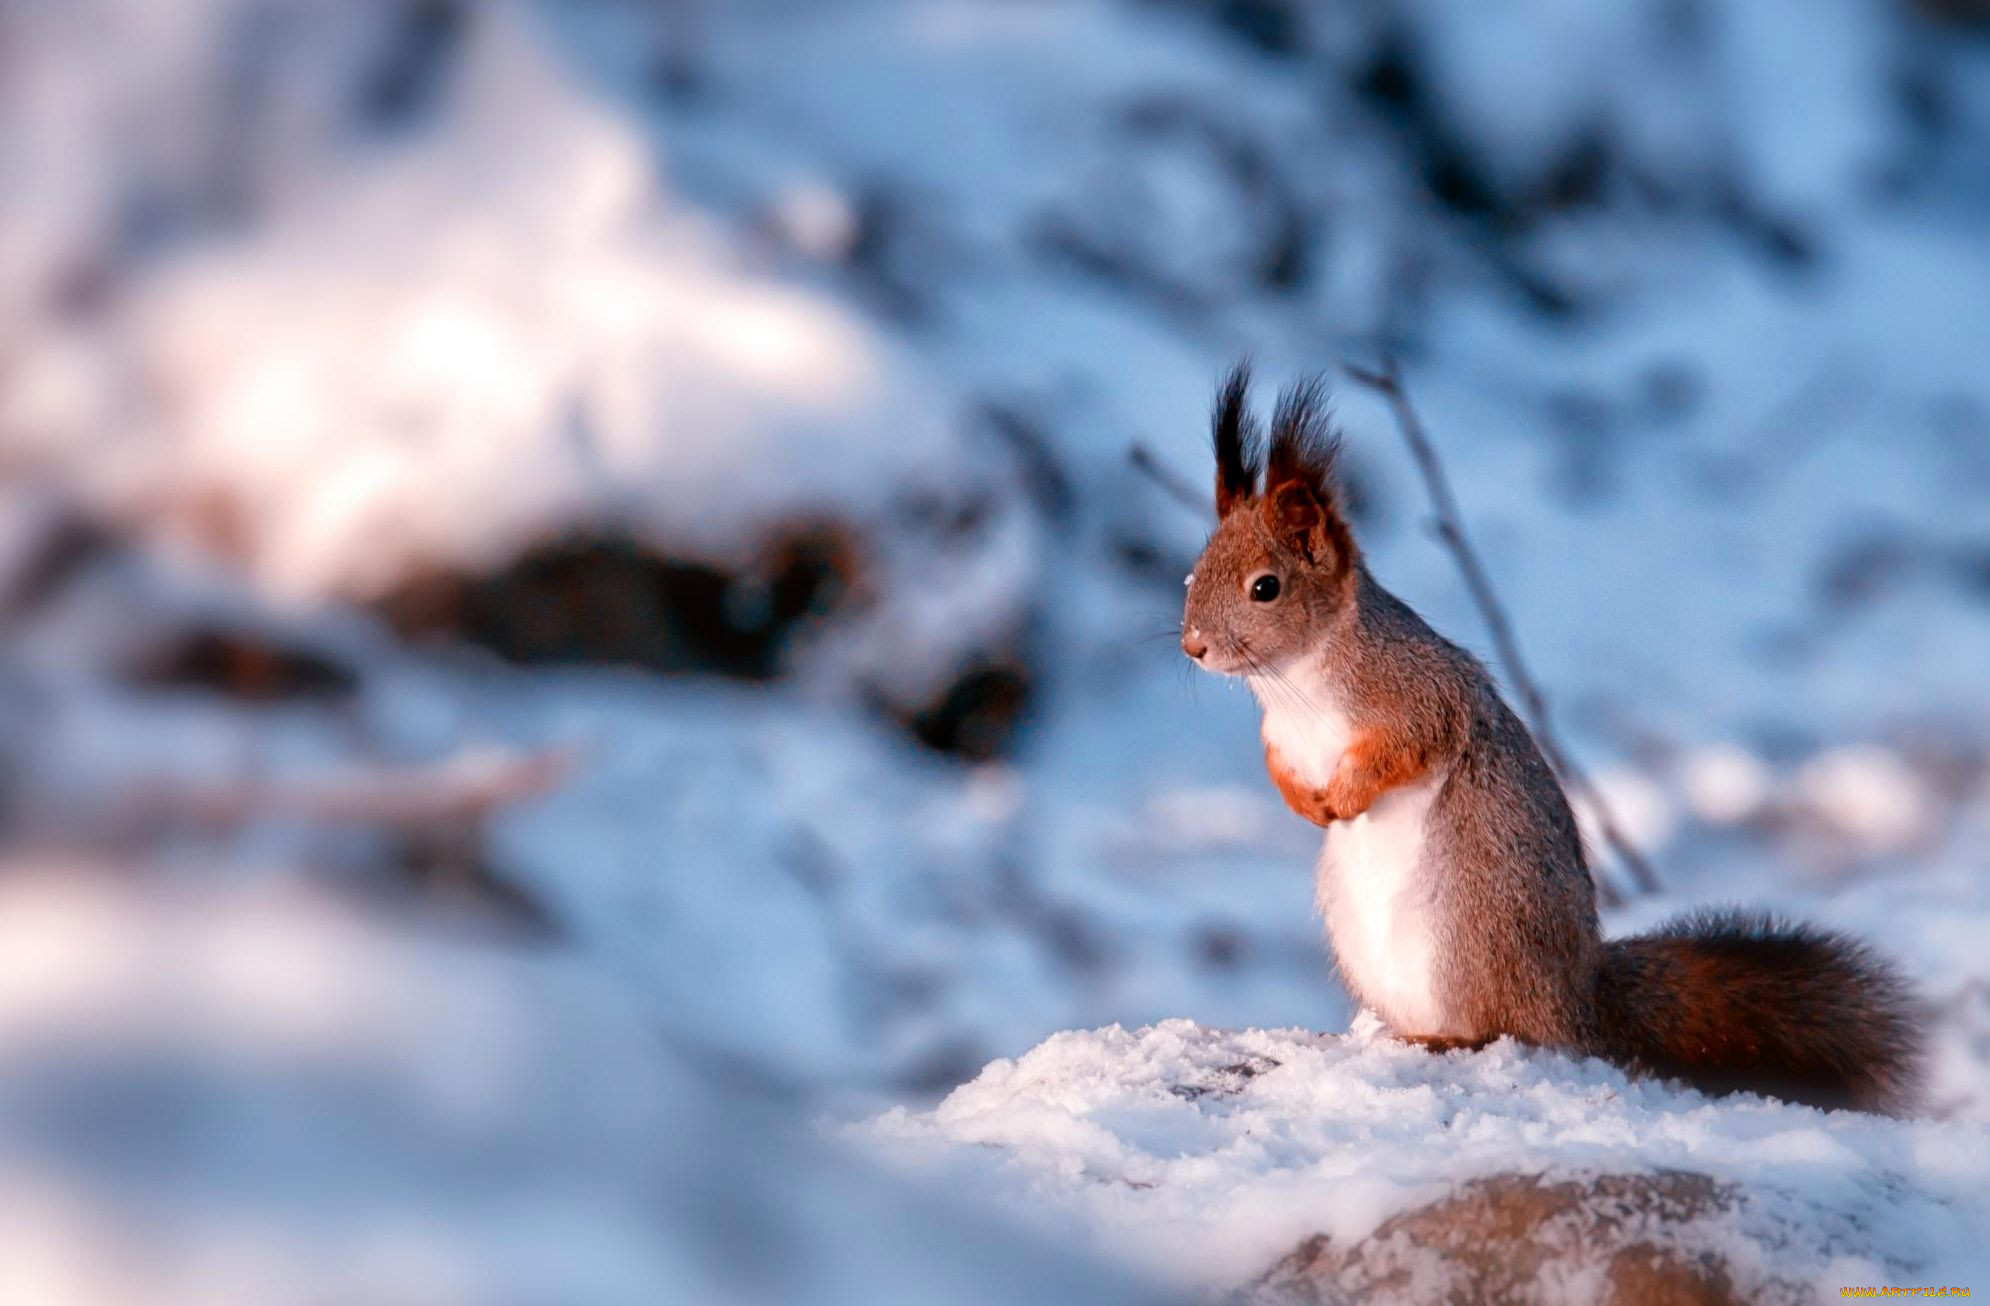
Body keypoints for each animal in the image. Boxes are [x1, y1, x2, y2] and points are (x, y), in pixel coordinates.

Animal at [1178, 364, 1926, 1114]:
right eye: (1194, 570)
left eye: (1265, 588)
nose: (1193, 645)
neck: (1294, 681)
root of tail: (1575, 1003)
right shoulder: (1281, 737)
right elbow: (1278, 767)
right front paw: (1307, 804)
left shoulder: (1418, 696)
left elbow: (1407, 748)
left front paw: (1347, 796)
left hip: (1470, 929)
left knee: (1503, 1030)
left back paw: (1441, 1038)